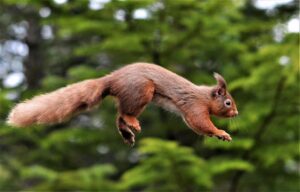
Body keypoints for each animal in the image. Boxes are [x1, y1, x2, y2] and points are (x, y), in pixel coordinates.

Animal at [7, 63, 239, 146]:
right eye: (228, 102)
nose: (236, 113)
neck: (206, 97)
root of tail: (112, 80)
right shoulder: (195, 106)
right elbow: (202, 123)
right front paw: (221, 132)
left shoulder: (188, 113)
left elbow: (196, 126)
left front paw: (220, 135)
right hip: (142, 90)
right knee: (124, 113)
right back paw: (132, 123)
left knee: (118, 116)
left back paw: (127, 133)